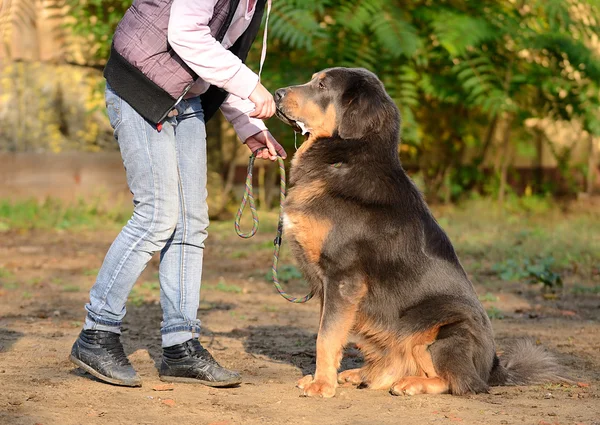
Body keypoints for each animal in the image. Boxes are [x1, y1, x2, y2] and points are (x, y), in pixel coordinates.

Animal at [274, 67, 564, 398]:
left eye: (322, 85)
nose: (277, 93)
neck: (343, 160)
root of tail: (493, 368)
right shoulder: (328, 286)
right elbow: (327, 332)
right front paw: (320, 378)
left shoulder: (342, 278)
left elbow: (326, 336)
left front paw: (322, 385)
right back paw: (364, 374)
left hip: (445, 327)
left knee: (460, 382)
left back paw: (411, 383)